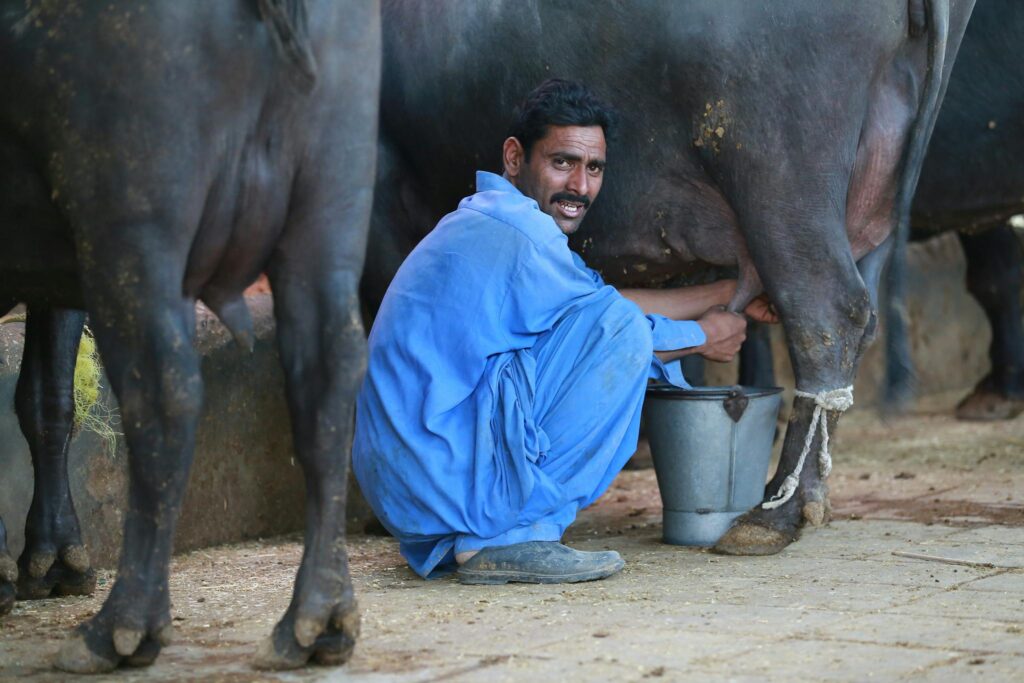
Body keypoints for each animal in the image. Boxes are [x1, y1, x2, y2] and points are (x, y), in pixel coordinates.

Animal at [0, 0, 380, 671]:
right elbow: (47, 397)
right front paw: (53, 558)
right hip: (327, 214)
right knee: (331, 381)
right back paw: (317, 619)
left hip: (132, 230)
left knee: (165, 396)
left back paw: (121, 628)